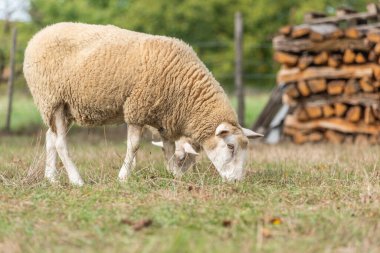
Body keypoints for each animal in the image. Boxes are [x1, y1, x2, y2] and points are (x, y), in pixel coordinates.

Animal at [23, 22, 262, 186]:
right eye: (230, 146)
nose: (237, 182)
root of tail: (37, 36)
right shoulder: (138, 110)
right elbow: (134, 146)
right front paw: (123, 177)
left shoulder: (165, 119)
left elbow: (168, 149)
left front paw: (174, 174)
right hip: (52, 99)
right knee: (60, 143)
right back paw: (76, 180)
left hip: (64, 107)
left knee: (50, 137)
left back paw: (51, 178)